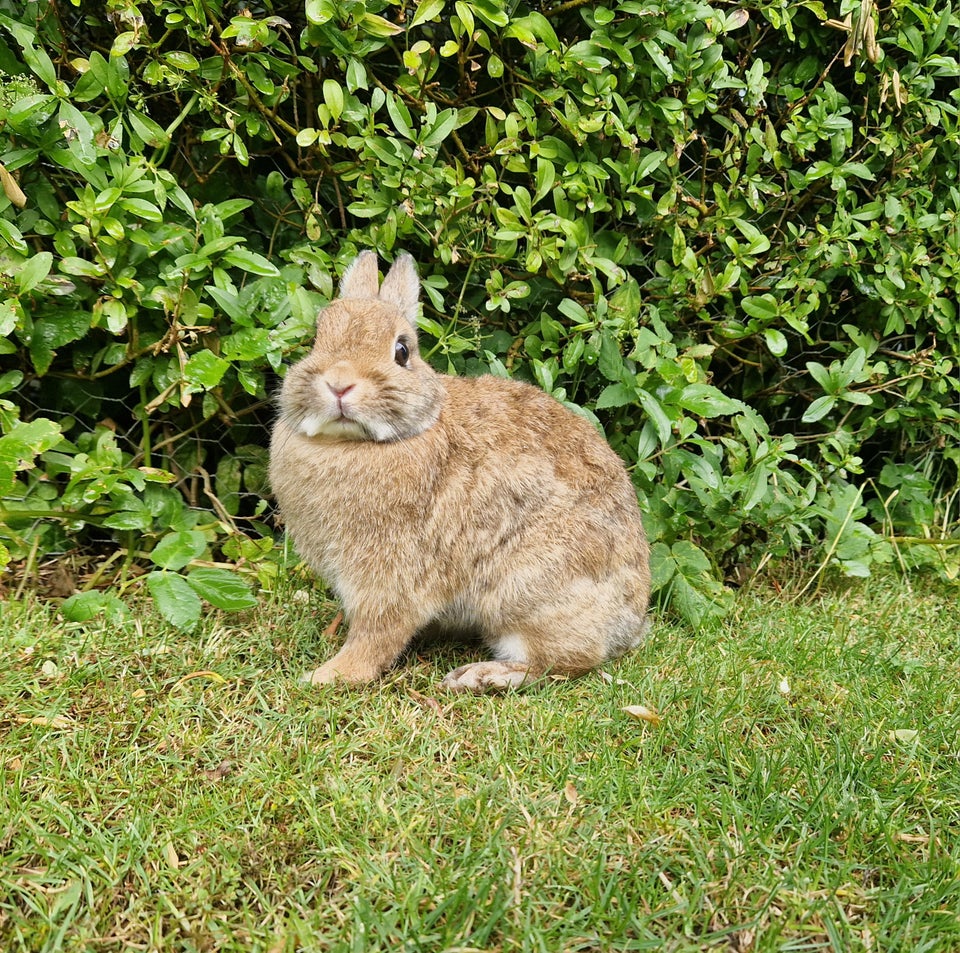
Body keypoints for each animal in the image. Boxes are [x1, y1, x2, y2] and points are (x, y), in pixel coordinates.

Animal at [266, 247, 648, 692]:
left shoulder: (391, 577)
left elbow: (377, 635)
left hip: (526, 592)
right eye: (317, 340)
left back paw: (480, 676)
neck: (355, 445)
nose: (339, 383)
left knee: (562, 662)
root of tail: (631, 621)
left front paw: (327, 676)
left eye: (402, 351)